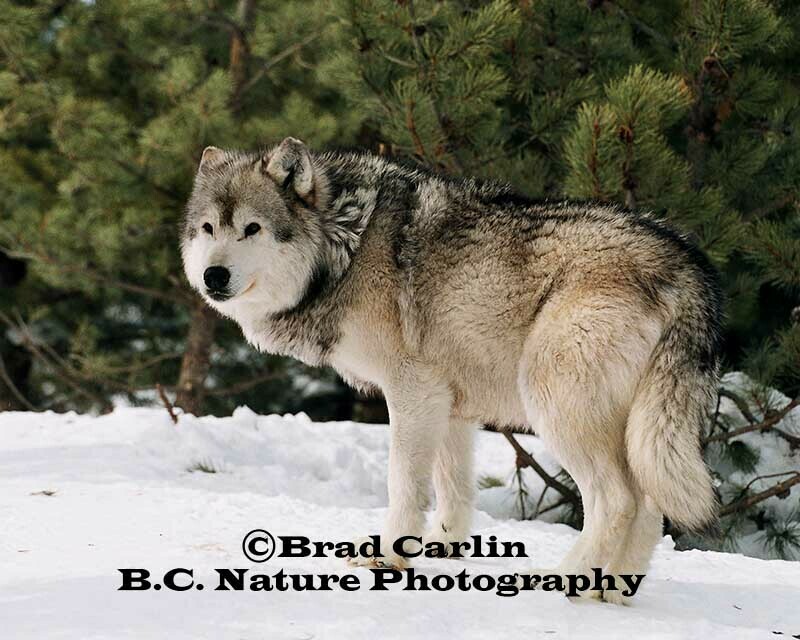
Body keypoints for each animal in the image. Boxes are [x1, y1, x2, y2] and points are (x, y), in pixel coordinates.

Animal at [181, 137, 722, 603]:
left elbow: (404, 483)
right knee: (650, 505)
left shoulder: (412, 391)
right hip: (637, 430)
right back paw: (612, 591)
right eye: (208, 229)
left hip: (555, 407)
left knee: (618, 501)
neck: (347, 246)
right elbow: (454, 487)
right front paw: (443, 548)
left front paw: (388, 558)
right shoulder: (451, 406)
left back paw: (563, 580)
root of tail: (686, 265)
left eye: (252, 229)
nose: (213, 276)